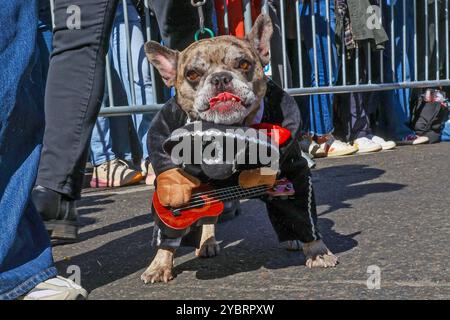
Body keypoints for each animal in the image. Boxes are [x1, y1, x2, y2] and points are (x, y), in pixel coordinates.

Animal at [141, 13, 338, 284]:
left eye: (244, 64)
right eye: (192, 74)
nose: (220, 78)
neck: (227, 128)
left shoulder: (293, 172)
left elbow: (301, 212)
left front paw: (317, 251)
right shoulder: (166, 124)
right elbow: (161, 153)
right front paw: (160, 264)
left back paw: (291, 239)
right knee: (207, 219)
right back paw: (206, 243)